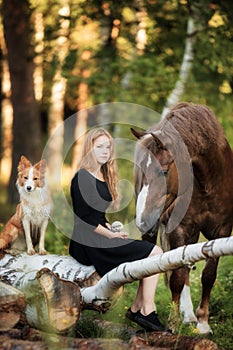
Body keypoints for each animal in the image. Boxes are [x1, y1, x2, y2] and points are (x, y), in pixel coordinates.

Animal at [131, 101, 233, 334]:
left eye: (164, 171)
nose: (142, 220)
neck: (207, 183)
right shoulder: (179, 228)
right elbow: (176, 276)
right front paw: (172, 323)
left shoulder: (222, 231)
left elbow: (208, 275)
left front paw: (203, 323)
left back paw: (190, 315)